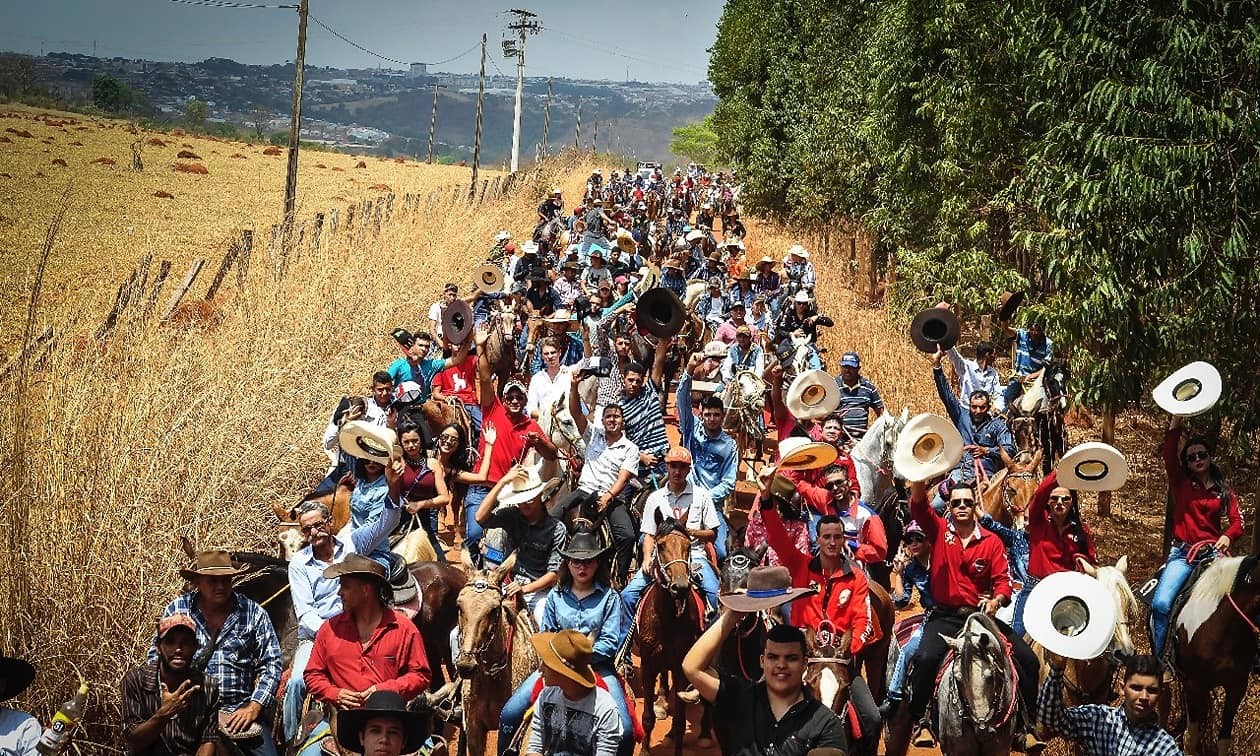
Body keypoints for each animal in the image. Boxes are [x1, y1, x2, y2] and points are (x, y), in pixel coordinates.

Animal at [453, 546, 536, 756]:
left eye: (494, 609)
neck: (492, 677)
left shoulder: (509, 729)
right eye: (459, 605)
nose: (466, 665)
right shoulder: (474, 727)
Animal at [635, 514, 715, 756]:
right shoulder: (648, 665)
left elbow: (680, 722)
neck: (668, 618)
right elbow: (647, 717)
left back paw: (704, 733)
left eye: (688, 546)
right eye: (660, 546)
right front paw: (645, 750)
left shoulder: (680, 666)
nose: (680, 587)